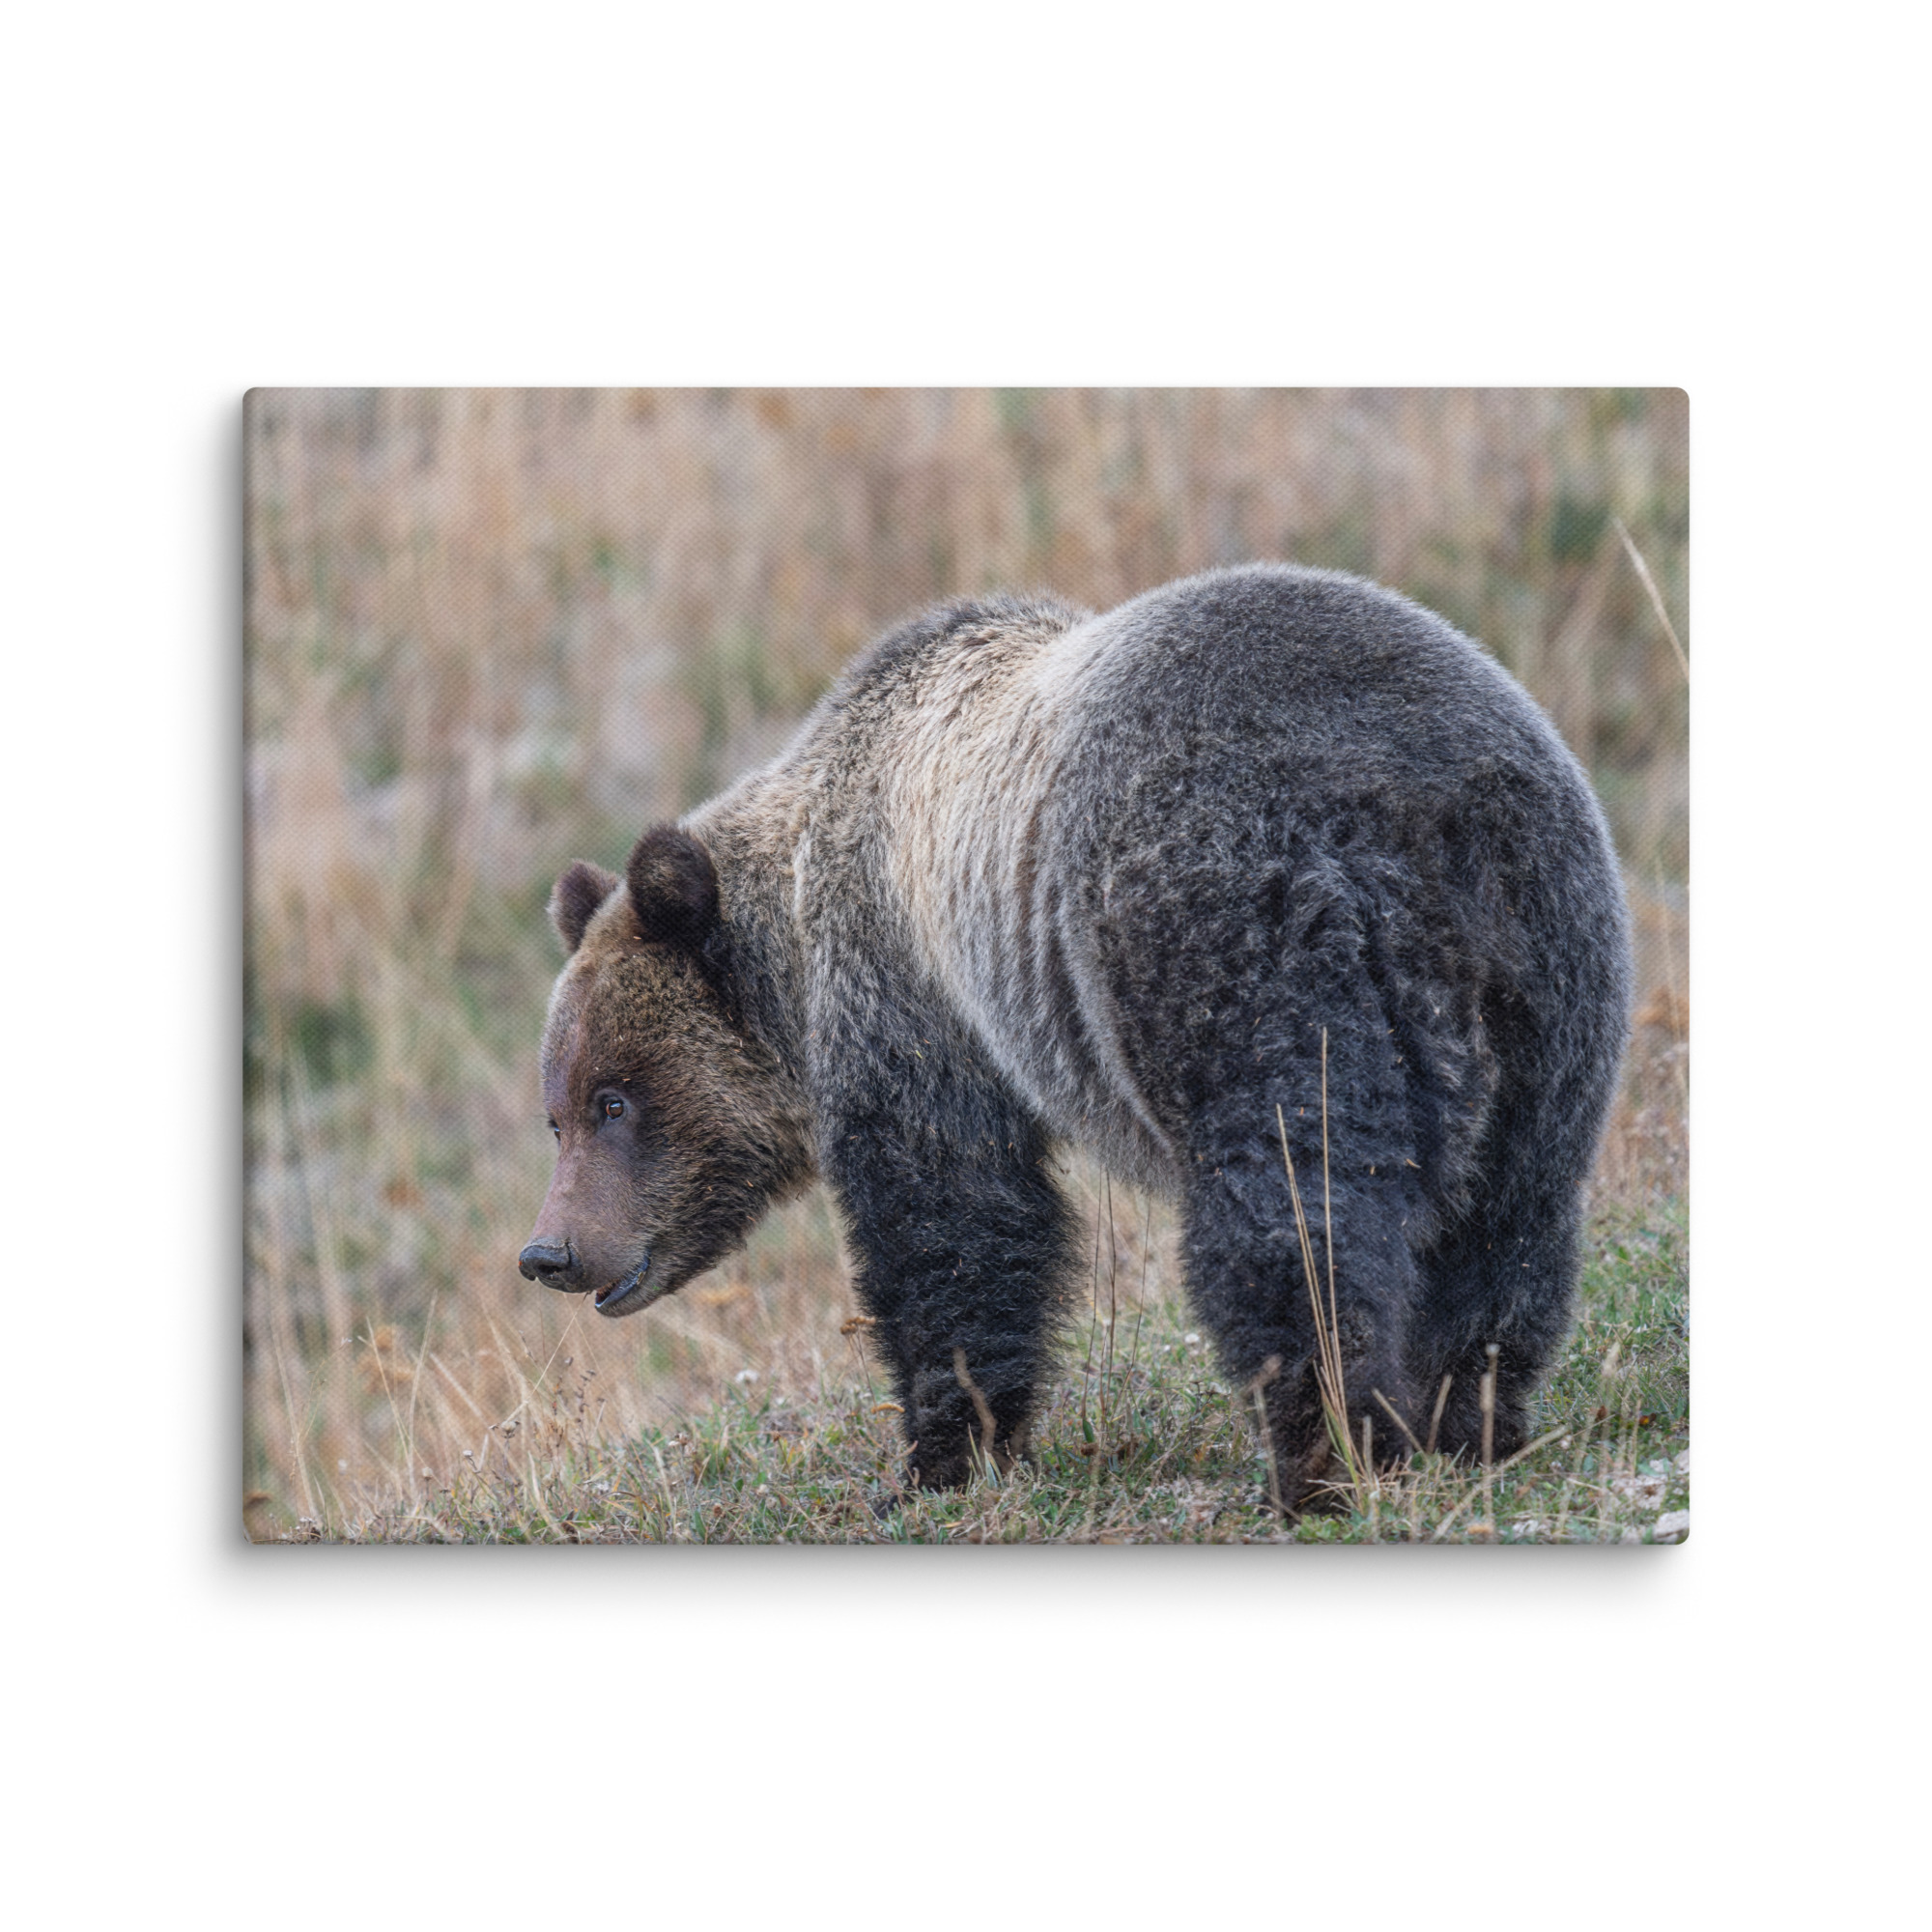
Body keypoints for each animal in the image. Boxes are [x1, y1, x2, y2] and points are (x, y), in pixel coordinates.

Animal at [519, 563, 1632, 1509]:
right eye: (557, 1112)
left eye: (614, 1099)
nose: (550, 1251)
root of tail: (1416, 806)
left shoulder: (912, 990)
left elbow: (952, 1216)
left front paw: (938, 1456)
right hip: (1549, 970)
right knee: (1509, 1216)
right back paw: (1467, 1422)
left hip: (1236, 938)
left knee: (1294, 1208)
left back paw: (1323, 1455)